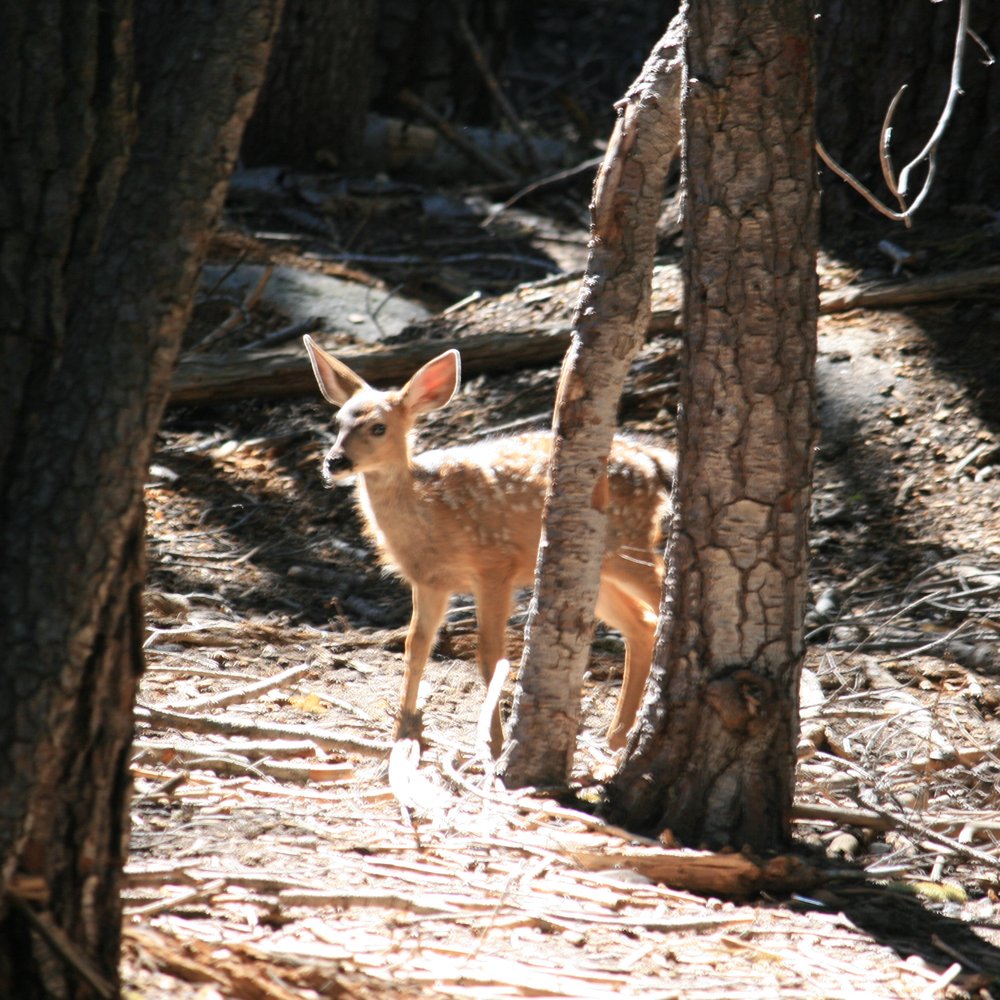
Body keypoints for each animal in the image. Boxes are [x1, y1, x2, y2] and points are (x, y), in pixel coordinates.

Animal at [303, 334, 674, 756]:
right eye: (337, 423)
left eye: (378, 427)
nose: (335, 462)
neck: (430, 512)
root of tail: (653, 460)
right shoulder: (430, 581)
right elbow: (416, 648)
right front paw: (403, 730)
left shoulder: (495, 566)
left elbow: (490, 657)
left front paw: (494, 743)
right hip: (592, 568)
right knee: (640, 624)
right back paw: (615, 736)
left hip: (630, 542)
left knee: (661, 601)